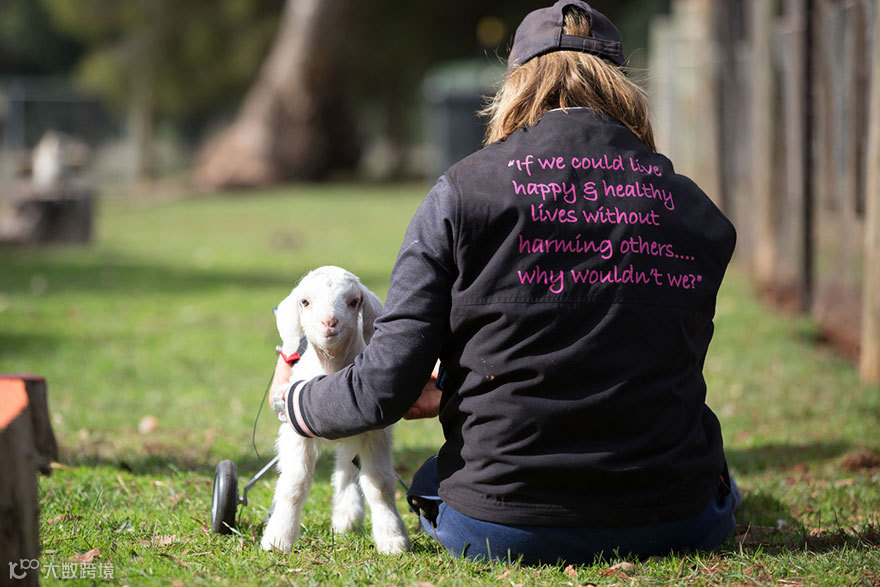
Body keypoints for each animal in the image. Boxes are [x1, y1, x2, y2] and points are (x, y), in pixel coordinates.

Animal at [260, 265, 411, 554]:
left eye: (353, 302)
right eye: (305, 302)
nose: (329, 322)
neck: (330, 368)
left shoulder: (375, 432)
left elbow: (379, 484)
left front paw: (393, 539)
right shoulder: (294, 431)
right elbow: (294, 484)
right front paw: (278, 539)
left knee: (347, 468)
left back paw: (346, 517)